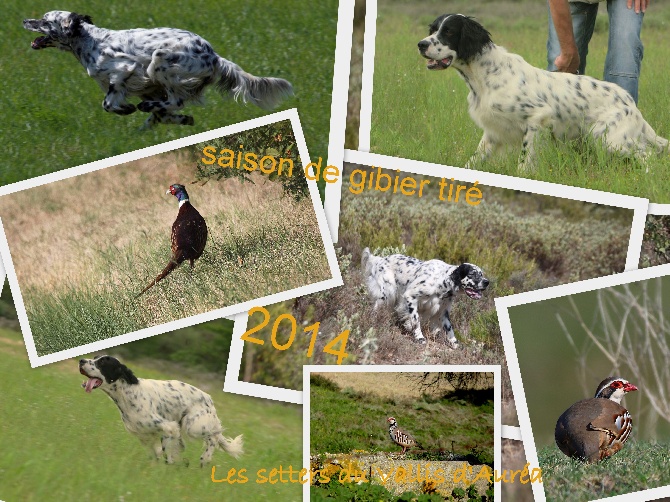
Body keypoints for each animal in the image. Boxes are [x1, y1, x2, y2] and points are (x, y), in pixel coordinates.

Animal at [23, 10, 292, 127]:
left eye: (45, 21)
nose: (25, 20)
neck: (89, 41)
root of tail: (214, 56)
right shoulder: (147, 88)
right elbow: (162, 113)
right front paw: (178, 120)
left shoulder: (124, 69)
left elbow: (108, 103)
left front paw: (128, 109)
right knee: (170, 105)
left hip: (159, 60)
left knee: (176, 100)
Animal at [79, 356, 244, 466]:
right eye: (95, 358)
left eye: (102, 362)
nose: (81, 361)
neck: (128, 392)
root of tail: (209, 399)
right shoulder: (146, 436)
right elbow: (159, 453)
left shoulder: (168, 427)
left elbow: (166, 452)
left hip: (193, 426)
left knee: (214, 437)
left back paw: (205, 459)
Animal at [418, 13, 668, 172]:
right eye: (433, 29)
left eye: (448, 32)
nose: (421, 44)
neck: (484, 75)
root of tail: (630, 103)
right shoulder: (493, 132)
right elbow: (473, 161)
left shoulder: (537, 119)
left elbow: (524, 162)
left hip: (609, 138)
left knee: (647, 156)